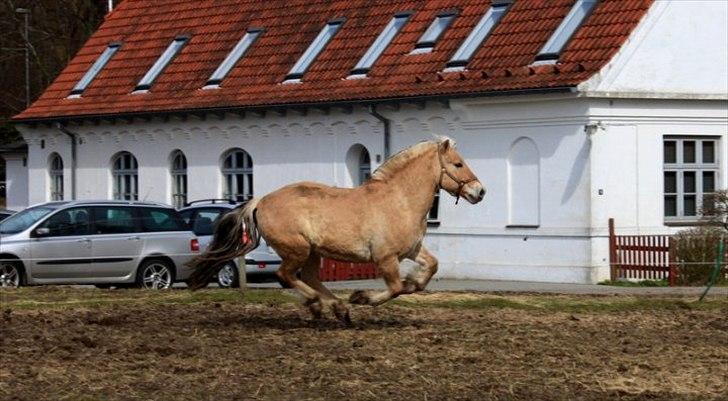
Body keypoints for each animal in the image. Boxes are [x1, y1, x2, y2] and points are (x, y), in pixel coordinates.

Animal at [188, 138, 484, 322]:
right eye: (458, 164)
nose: (479, 191)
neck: (400, 200)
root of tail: (261, 201)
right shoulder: (385, 258)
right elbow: (396, 288)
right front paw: (362, 298)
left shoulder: (411, 250)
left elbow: (429, 269)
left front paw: (414, 281)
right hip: (297, 249)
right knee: (286, 276)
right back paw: (322, 305)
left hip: (312, 252)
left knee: (307, 277)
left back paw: (337, 308)